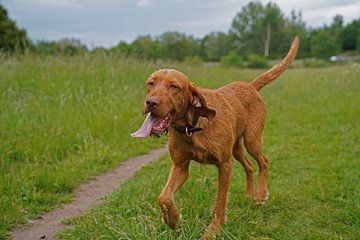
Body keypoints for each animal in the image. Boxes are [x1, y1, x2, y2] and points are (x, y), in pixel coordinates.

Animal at [131, 36, 298, 237]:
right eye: (151, 83)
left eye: (174, 86)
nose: (150, 103)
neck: (191, 128)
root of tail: (249, 85)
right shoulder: (180, 166)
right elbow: (164, 197)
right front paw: (173, 219)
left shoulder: (225, 165)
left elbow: (219, 203)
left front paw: (213, 231)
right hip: (236, 149)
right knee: (249, 167)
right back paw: (249, 195)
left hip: (252, 140)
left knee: (263, 162)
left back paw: (260, 195)